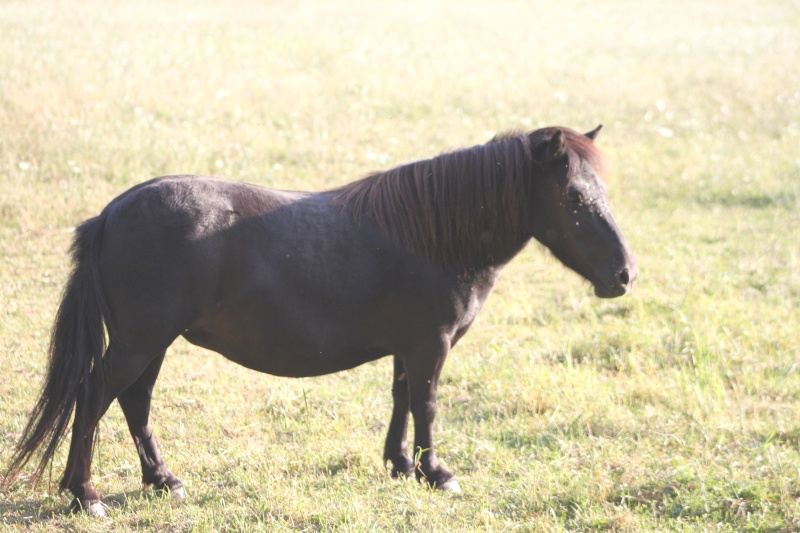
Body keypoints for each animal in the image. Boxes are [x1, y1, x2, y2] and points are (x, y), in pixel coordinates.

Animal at [1, 125, 636, 516]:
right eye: (575, 198)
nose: (625, 274)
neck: (435, 236)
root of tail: (111, 213)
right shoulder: (430, 345)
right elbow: (427, 404)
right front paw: (436, 472)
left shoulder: (408, 347)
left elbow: (401, 399)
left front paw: (400, 465)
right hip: (140, 341)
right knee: (95, 397)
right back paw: (85, 494)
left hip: (151, 343)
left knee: (134, 402)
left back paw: (164, 481)